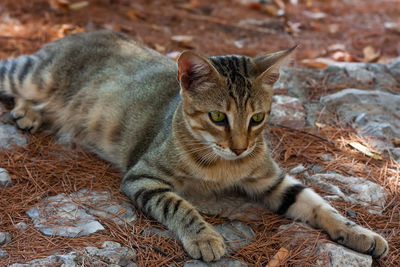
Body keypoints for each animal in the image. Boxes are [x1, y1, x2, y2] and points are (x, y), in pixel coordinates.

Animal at [0, 30, 388, 262]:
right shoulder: (143, 177)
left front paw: (360, 233)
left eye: (257, 118)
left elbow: (320, 205)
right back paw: (26, 110)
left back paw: (30, 113)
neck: (224, 166)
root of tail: (86, 31)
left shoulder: (274, 180)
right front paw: (205, 238)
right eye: (218, 117)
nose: (240, 148)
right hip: (32, 75)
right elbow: (179, 205)